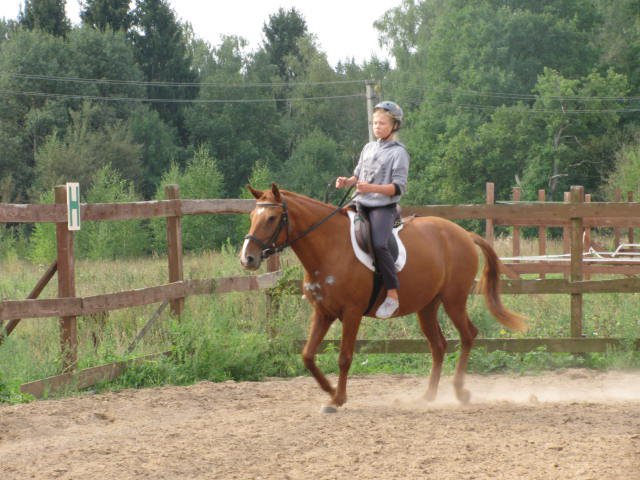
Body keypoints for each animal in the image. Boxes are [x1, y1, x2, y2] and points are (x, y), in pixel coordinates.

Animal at [240, 184, 526, 411]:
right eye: (252, 215)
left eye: (272, 218)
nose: (248, 258)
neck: (330, 248)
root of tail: (463, 234)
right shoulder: (322, 313)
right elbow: (308, 356)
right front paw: (331, 391)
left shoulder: (351, 313)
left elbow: (344, 357)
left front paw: (338, 399)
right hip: (427, 307)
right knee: (438, 345)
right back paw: (428, 396)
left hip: (454, 300)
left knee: (467, 335)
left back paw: (459, 390)